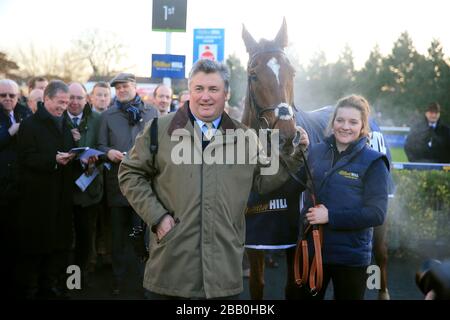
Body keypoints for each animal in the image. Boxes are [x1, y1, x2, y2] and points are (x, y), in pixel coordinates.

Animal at [243, 19, 390, 300]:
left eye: (292, 73)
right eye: (253, 75)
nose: (287, 138)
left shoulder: (297, 239)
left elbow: (293, 286)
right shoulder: (255, 237)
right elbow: (257, 284)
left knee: (381, 253)